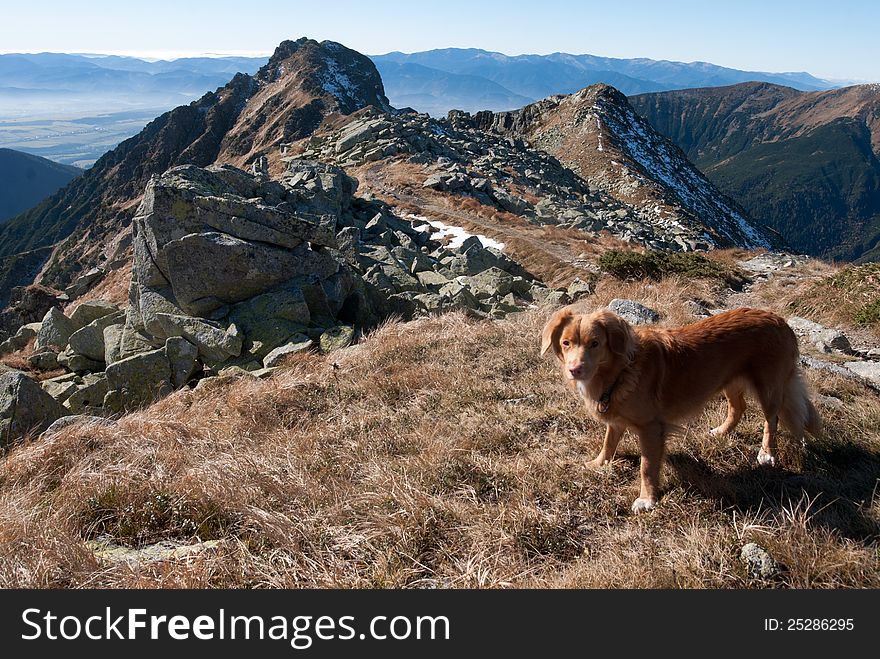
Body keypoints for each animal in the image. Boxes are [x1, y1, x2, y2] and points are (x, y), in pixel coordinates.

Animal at [540, 306, 820, 512]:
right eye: (566, 343)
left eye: (595, 343)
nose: (574, 370)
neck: (620, 371)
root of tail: (780, 320)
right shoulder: (617, 419)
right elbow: (609, 442)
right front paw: (599, 463)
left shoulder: (651, 428)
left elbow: (647, 467)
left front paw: (647, 499)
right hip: (728, 380)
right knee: (738, 407)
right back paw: (721, 432)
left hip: (768, 387)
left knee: (771, 419)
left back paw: (766, 453)